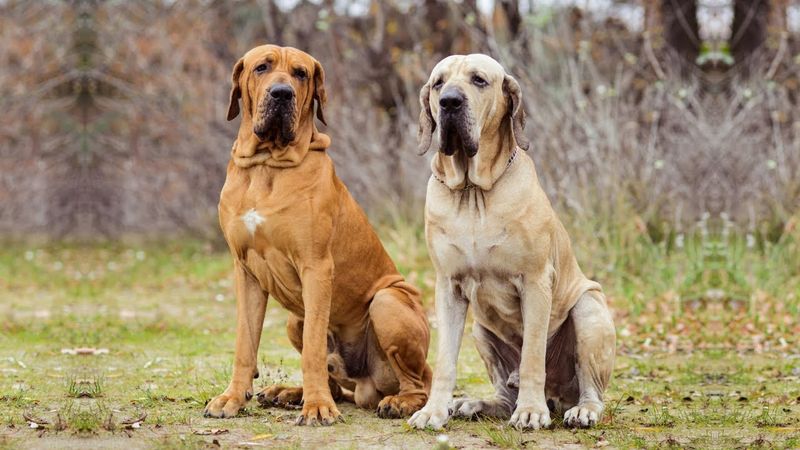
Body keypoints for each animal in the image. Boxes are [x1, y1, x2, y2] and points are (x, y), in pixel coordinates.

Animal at [205, 45, 432, 426]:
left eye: (301, 73)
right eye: (261, 67)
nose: (281, 93)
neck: (267, 165)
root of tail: (365, 386)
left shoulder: (316, 267)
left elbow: (312, 349)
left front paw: (317, 407)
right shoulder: (246, 272)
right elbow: (244, 343)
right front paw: (233, 398)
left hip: (387, 301)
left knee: (422, 382)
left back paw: (397, 402)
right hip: (293, 320)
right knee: (337, 384)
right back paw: (288, 393)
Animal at [410, 54, 616, 430]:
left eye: (478, 80)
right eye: (438, 83)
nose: (449, 102)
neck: (473, 192)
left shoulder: (535, 283)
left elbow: (532, 356)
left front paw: (532, 411)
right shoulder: (448, 287)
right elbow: (445, 360)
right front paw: (433, 410)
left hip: (589, 309)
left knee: (589, 386)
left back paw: (582, 410)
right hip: (481, 331)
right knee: (505, 393)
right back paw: (476, 404)